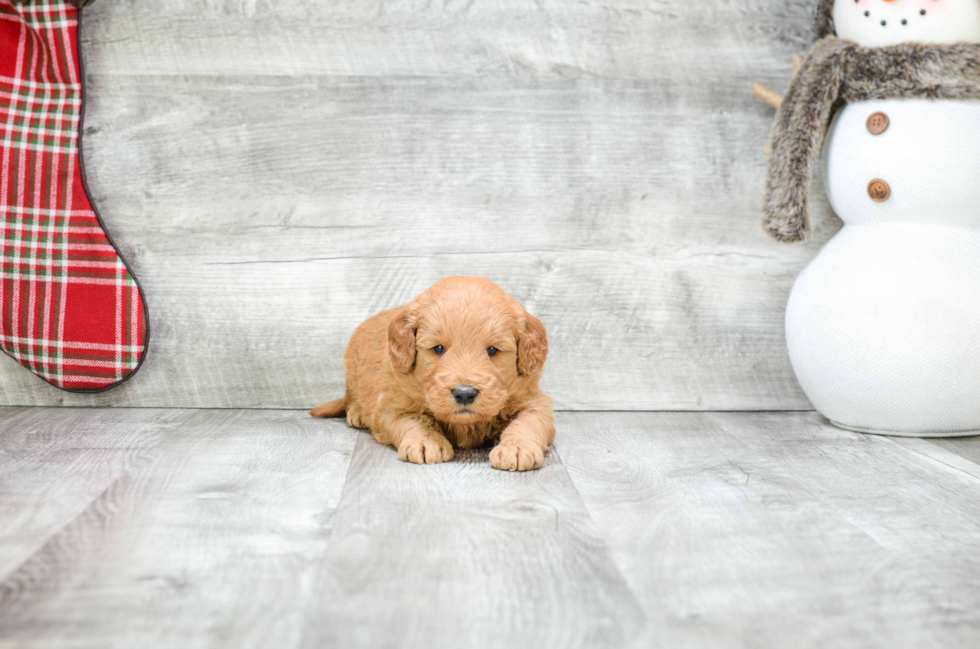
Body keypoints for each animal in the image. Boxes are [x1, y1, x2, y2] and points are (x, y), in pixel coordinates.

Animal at [314, 274, 560, 470]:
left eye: (492, 350)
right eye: (439, 349)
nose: (464, 393)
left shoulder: (534, 399)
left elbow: (529, 421)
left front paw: (517, 448)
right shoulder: (392, 404)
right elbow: (414, 420)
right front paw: (426, 442)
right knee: (350, 396)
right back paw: (356, 412)